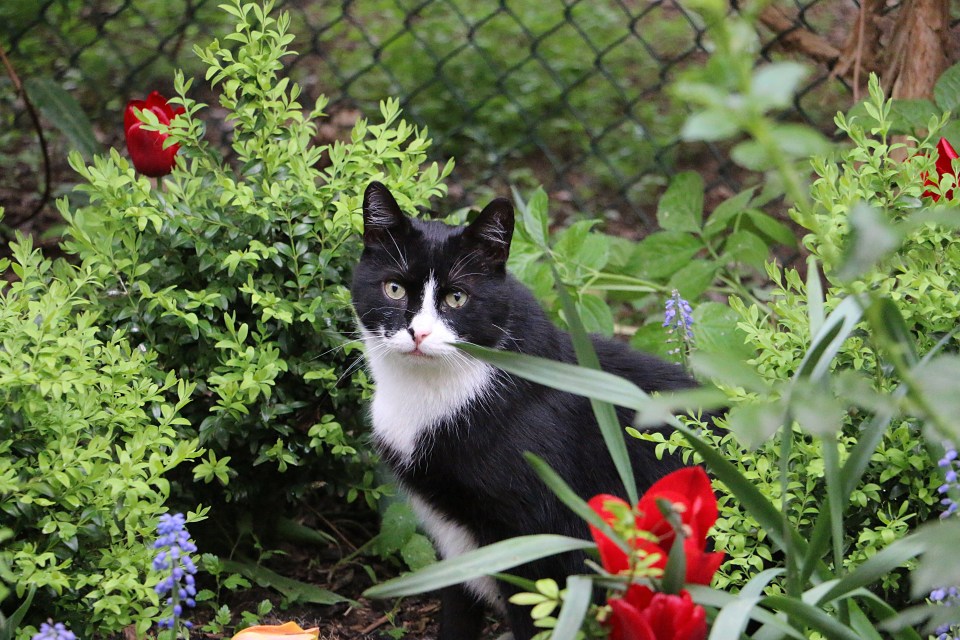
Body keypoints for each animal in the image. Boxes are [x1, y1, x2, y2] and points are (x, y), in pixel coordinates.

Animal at [350, 181, 696, 640]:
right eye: (394, 289)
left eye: (456, 297)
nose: (418, 333)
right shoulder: (453, 536)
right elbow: (457, 606)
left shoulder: (536, 537)